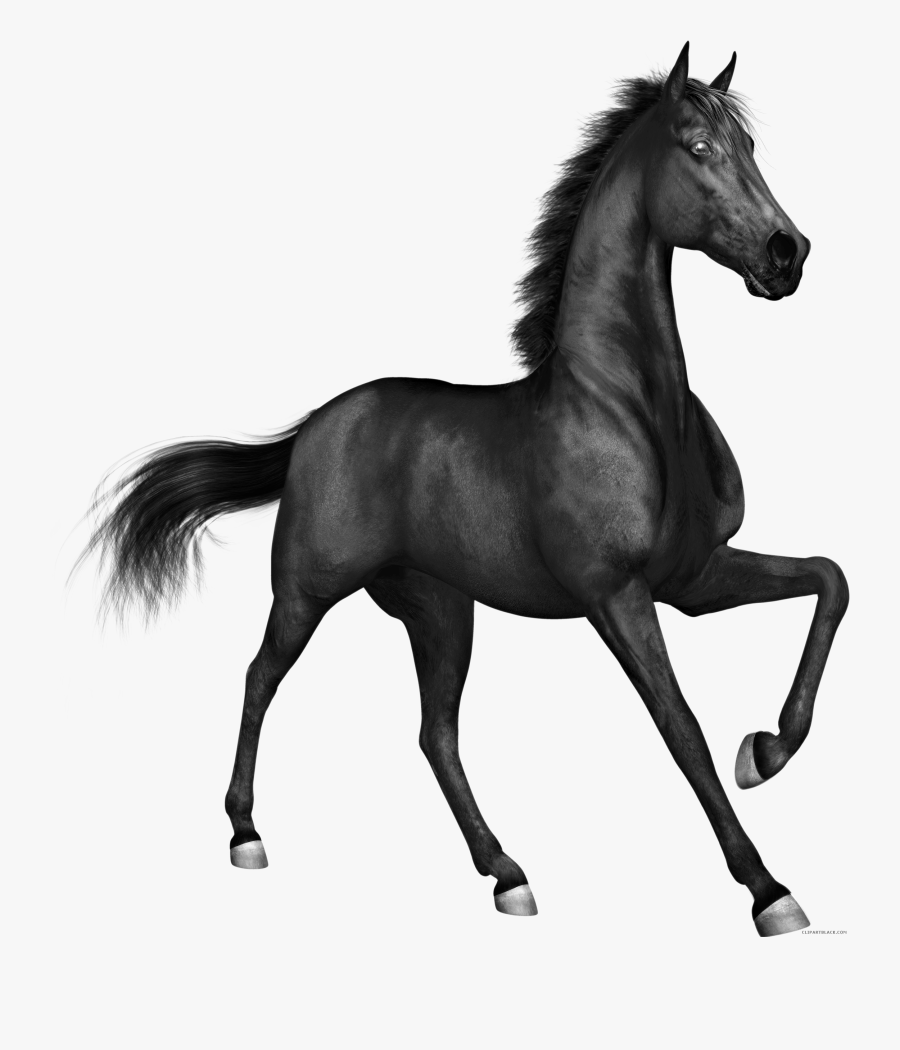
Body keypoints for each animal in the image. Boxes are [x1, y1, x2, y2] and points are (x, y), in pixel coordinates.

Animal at [78, 43, 848, 937]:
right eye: (697, 148)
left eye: (751, 147)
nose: (787, 253)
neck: (629, 409)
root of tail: (317, 426)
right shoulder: (617, 595)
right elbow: (680, 724)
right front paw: (769, 890)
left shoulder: (693, 577)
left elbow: (831, 581)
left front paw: (766, 751)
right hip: (308, 591)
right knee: (260, 677)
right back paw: (246, 834)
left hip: (441, 610)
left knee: (434, 734)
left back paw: (508, 875)